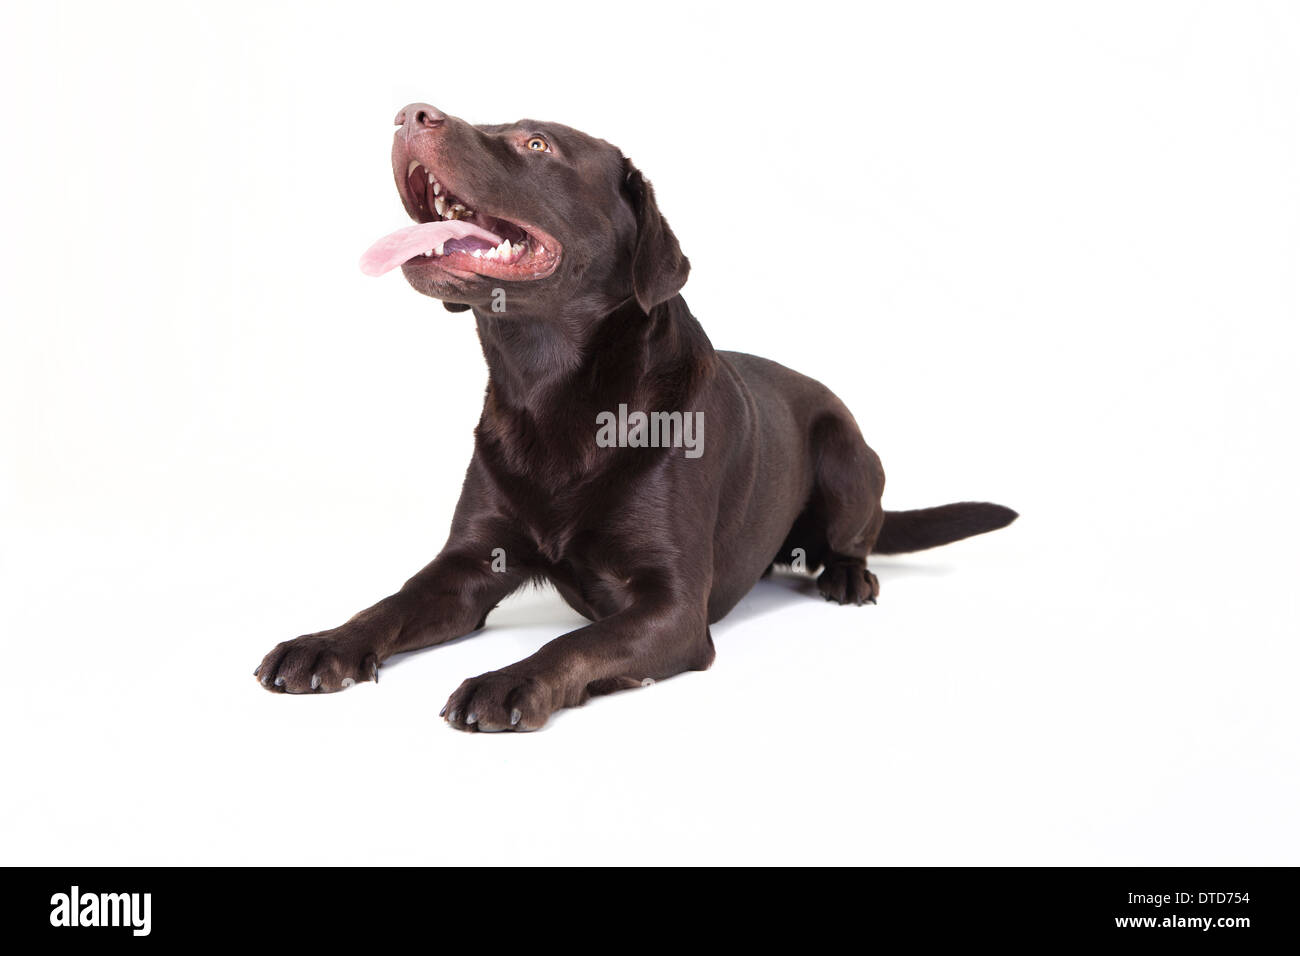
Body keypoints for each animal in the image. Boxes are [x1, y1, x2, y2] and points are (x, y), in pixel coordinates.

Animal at [253, 104, 1013, 733]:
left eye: (537, 143)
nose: (411, 113)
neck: (550, 393)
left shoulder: (670, 607)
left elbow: (575, 640)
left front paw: (507, 682)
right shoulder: (466, 565)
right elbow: (388, 604)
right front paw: (322, 645)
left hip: (846, 452)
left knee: (859, 533)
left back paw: (847, 575)